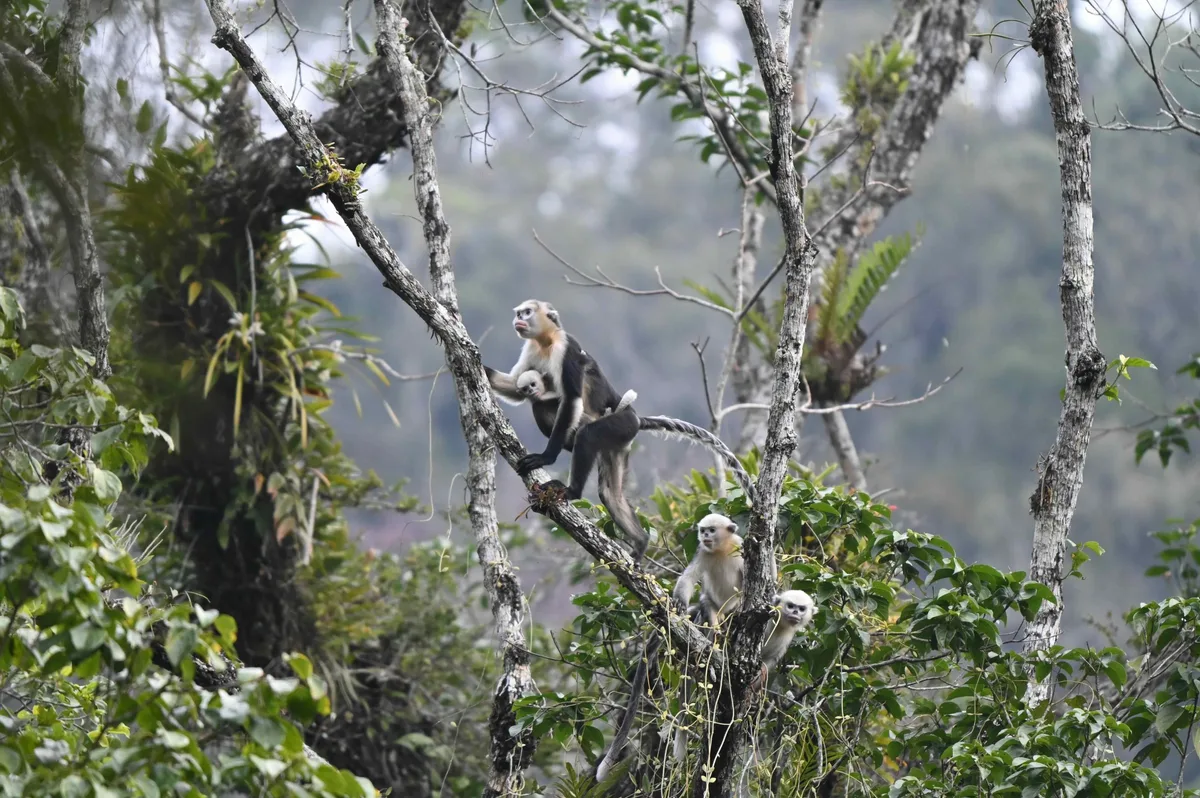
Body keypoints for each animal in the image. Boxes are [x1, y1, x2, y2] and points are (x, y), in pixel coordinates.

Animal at [485, 300, 756, 560]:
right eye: (519, 313)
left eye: (527, 313)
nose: (518, 319)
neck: (546, 342)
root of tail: (635, 417)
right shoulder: (530, 349)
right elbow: (513, 385)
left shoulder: (566, 349)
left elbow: (571, 397)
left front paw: (546, 457)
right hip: (618, 444)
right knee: (609, 493)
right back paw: (641, 541)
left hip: (621, 424)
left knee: (581, 431)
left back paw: (572, 490)